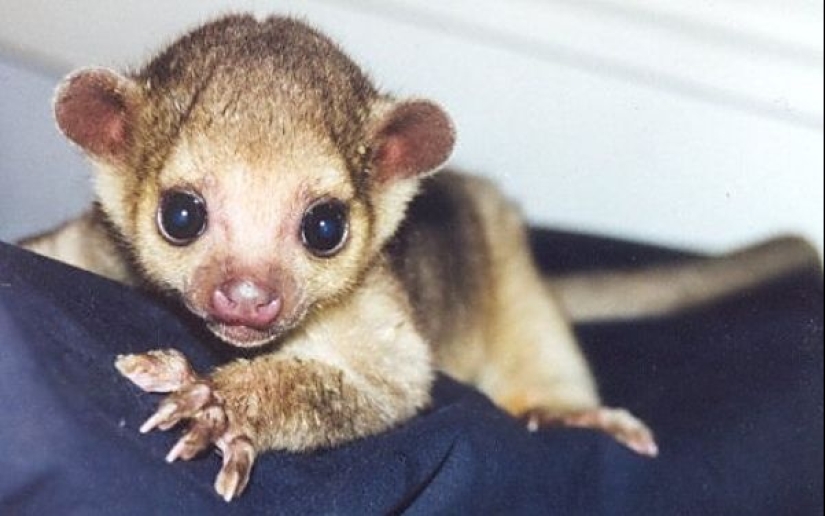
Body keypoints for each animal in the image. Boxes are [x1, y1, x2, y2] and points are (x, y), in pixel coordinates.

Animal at [17, 14, 819, 501]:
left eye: (325, 227)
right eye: (180, 215)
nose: (246, 298)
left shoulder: (378, 299)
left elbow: (395, 382)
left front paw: (221, 404)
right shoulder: (96, 245)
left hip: (504, 248)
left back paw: (566, 410)